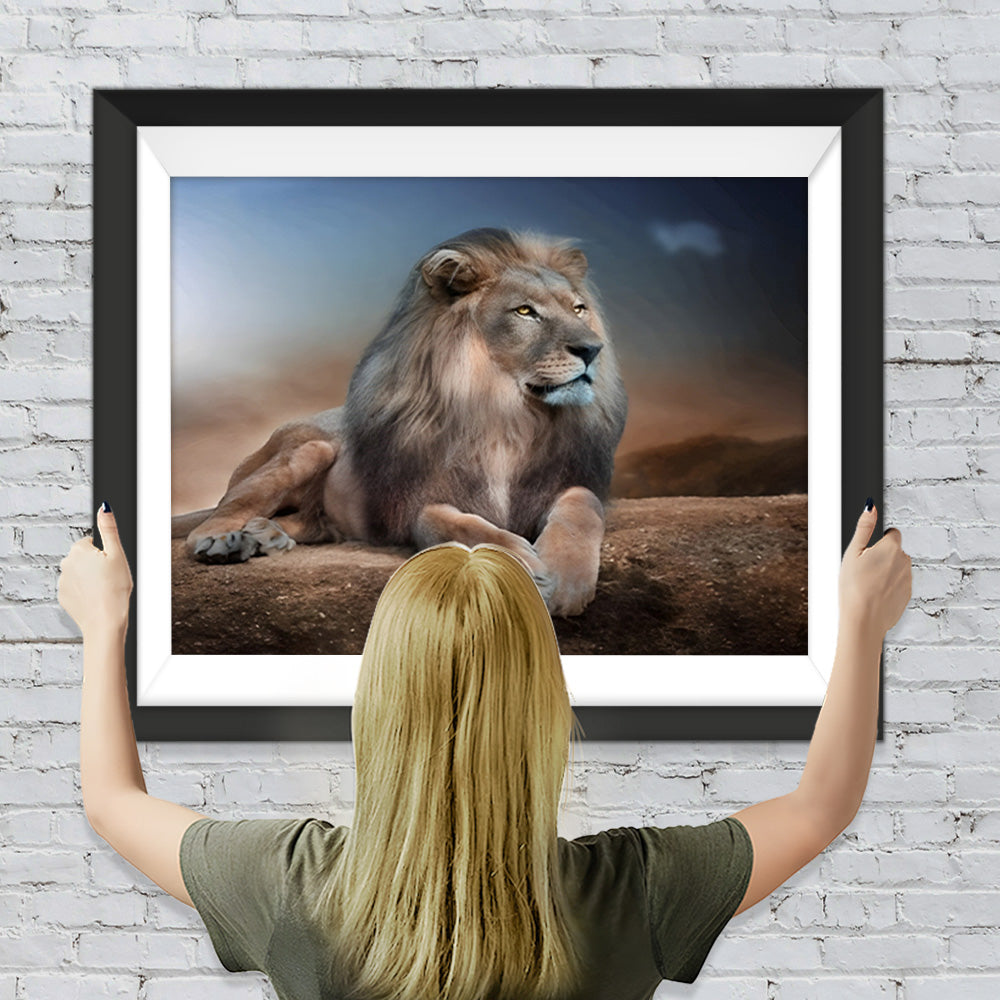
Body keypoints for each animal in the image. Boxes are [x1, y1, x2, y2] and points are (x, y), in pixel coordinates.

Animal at [171, 227, 628, 616]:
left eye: (579, 309)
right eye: (524, 311)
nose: (593, 349)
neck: (506, 416)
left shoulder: (563, 481)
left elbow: (581, 505)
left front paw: (566, 580)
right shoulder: (415, 502)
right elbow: (449, 523)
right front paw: (514, 556)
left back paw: (266, 535)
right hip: (309, 449)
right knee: (221, 513)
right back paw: (226, 541)